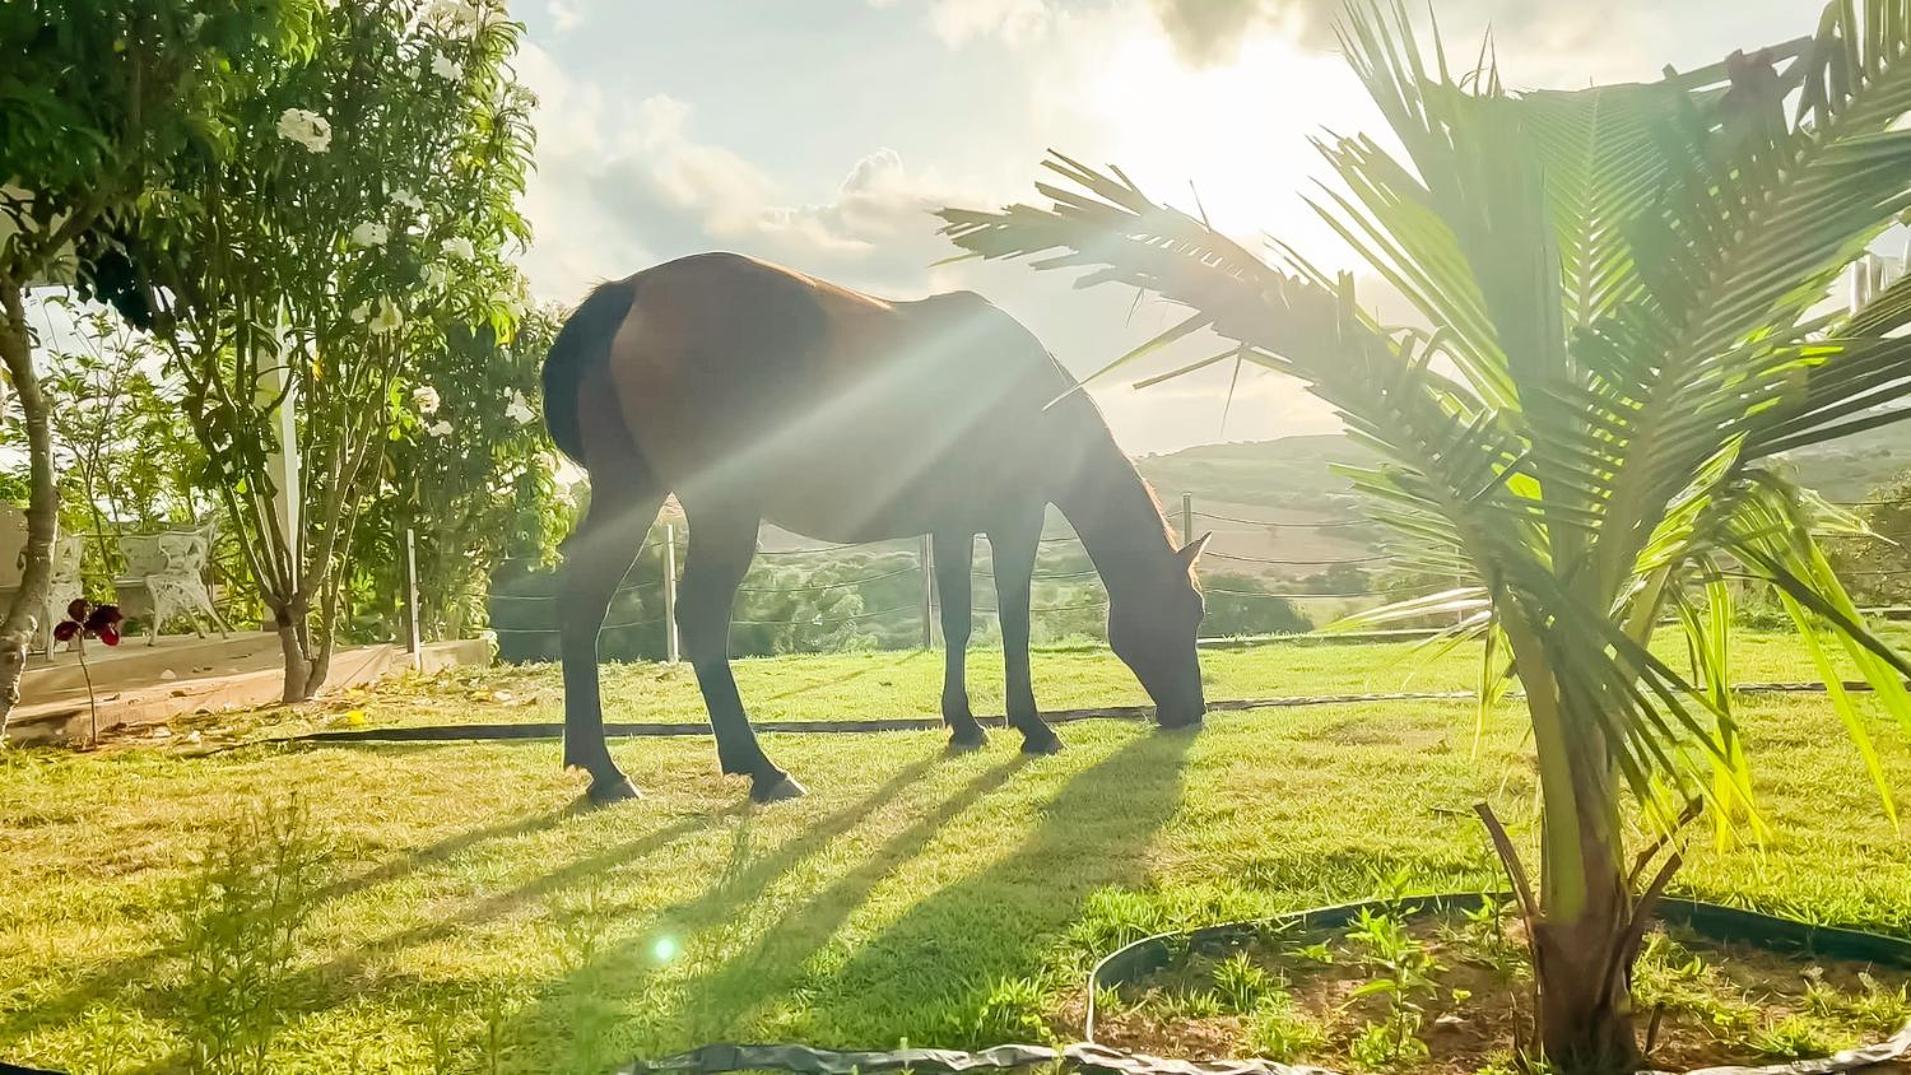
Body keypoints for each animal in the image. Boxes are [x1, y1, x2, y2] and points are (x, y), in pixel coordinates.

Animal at [542, 253, 1207, 809]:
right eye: (1191, 611)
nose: (1193, 712)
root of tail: (632, 290)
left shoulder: (953, 525)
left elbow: (959, 622)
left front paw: (964, 725)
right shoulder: (1016, 519)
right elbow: (1012, 621)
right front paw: (1033, 728)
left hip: (631, 493)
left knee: (582, 602)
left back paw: (604, 772)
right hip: (723, 510)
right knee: (701, 617)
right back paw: (761, 769)